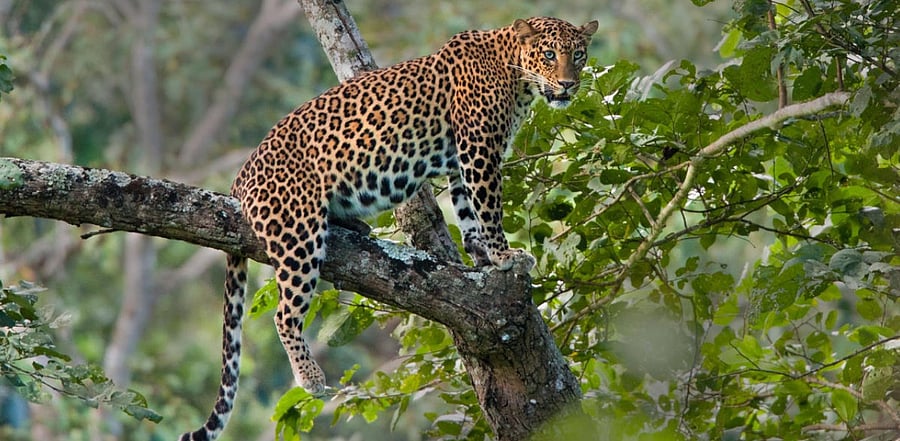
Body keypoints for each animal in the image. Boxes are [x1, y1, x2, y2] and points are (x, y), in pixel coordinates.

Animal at [180, 16, 598, 440]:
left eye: (578, 54)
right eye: (550, 54)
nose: (568, 84)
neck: (516, 75)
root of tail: (240, 177)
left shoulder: (461, 161)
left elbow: (468, 211)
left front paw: (482, 257)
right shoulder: (479, 151)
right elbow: (488, 207)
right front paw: (504, 255)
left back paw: (355, 225)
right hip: (297, 232)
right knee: (285, 312)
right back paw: (310, 376)